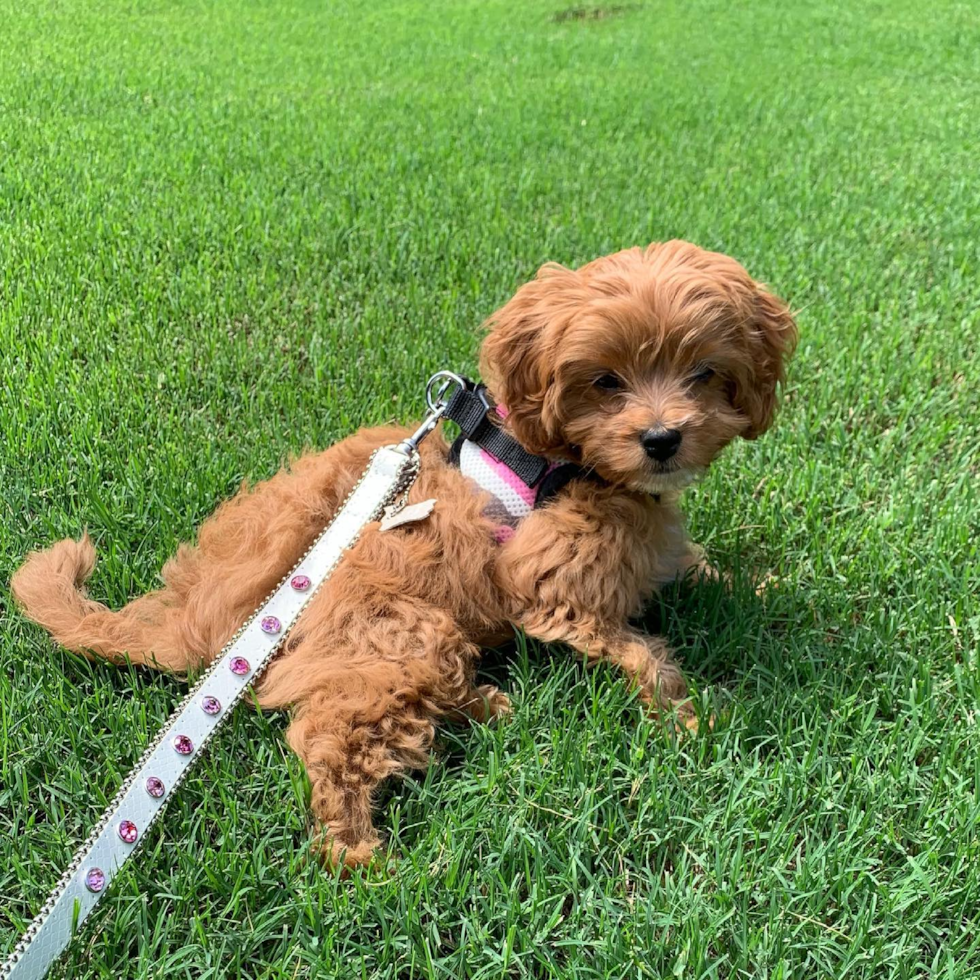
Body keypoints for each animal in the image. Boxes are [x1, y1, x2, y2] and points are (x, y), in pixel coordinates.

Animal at [11, 241, 796, 868]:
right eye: (605, 381)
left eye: (703, 372)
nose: (663, 440)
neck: (565, 463)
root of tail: (214, 621)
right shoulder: (551, 587)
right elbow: (638, 650)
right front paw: (694, 719)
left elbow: (691, 566)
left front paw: (758, 591)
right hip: (403, 637)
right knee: (333, 737)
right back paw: (359, 854)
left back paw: (482, 705)